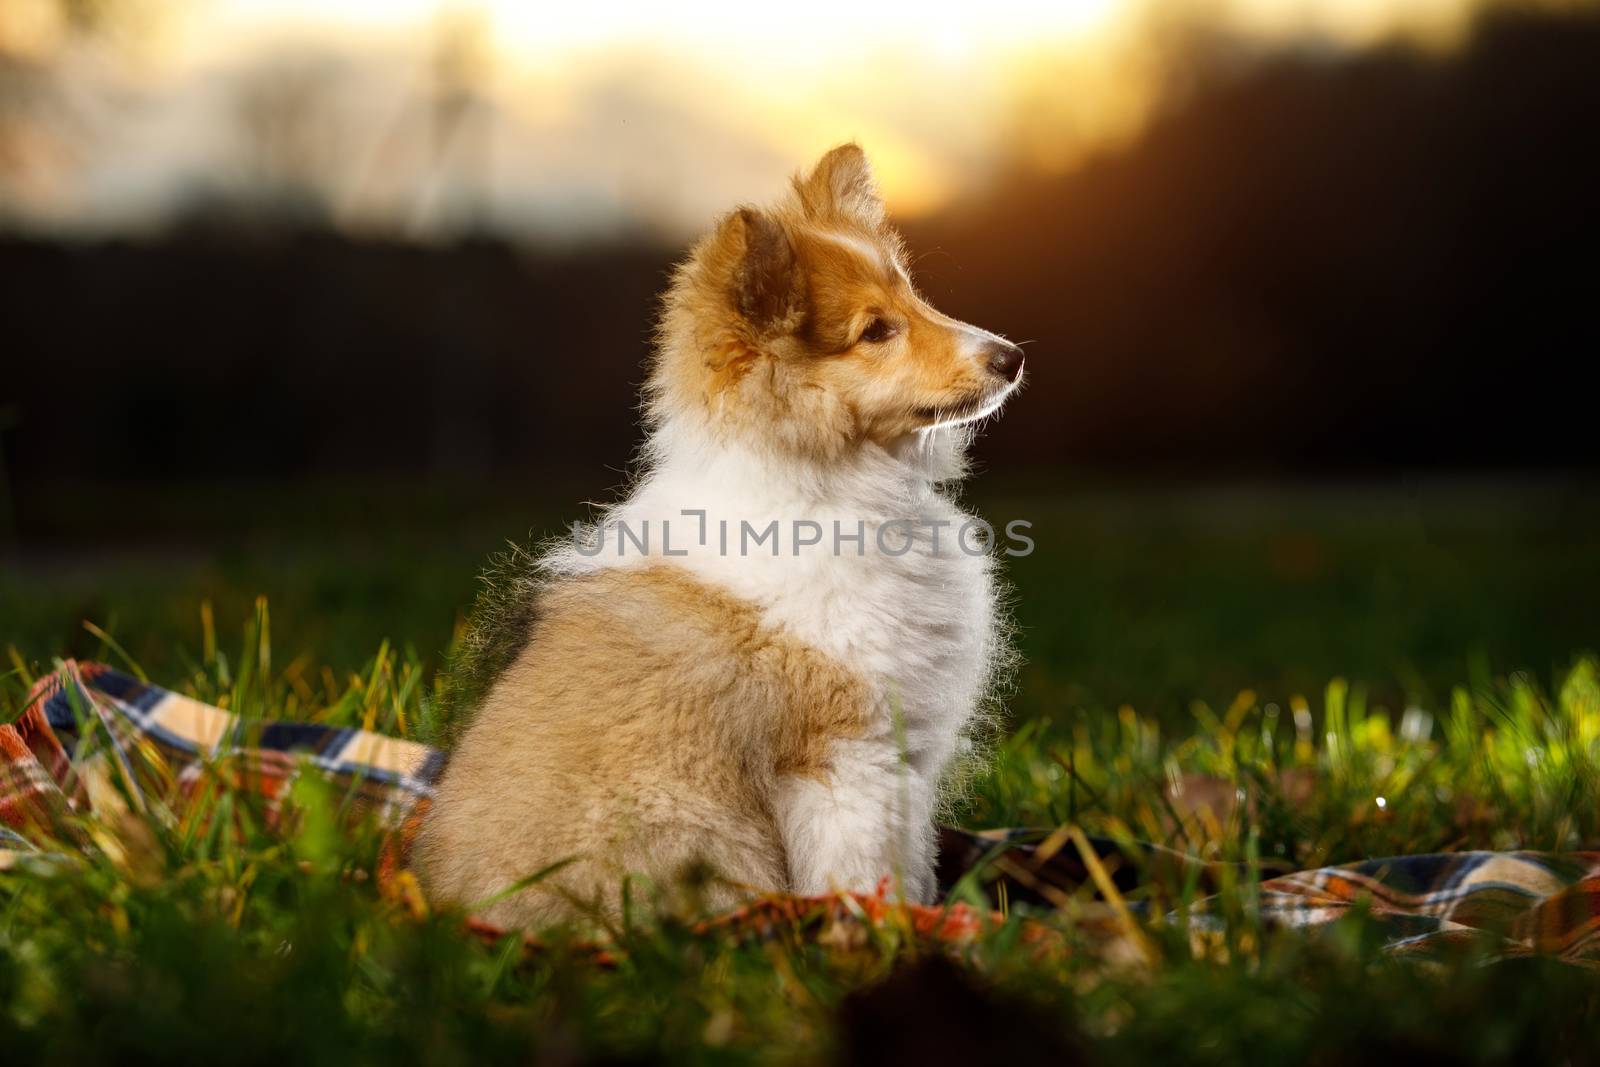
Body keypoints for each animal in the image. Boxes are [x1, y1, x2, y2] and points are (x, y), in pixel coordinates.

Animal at [416, 141, 1024, 927]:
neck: (831, 485)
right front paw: (885, 935)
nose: (1012, 356)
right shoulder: (847, 756)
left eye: (914, 297)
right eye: (876, 331)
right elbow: (862, 875)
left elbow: (912, 867)